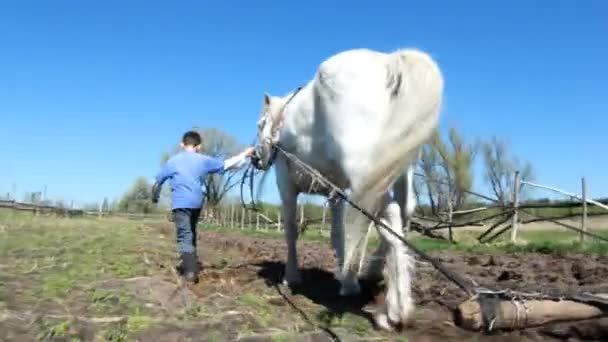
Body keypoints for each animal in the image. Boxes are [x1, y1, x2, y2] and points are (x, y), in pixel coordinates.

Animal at [252, 46, 442, 330]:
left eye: (259, 124)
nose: (256, 159)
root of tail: (389, 64)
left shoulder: (286, 185)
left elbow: (291, 231)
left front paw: (292, 276)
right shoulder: (337, 193)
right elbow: (338, 234)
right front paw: (345, 275)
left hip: (367, 174)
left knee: (389, 216)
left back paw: (395, 310)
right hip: (396, 170)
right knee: (402, 213)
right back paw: (379, 280)